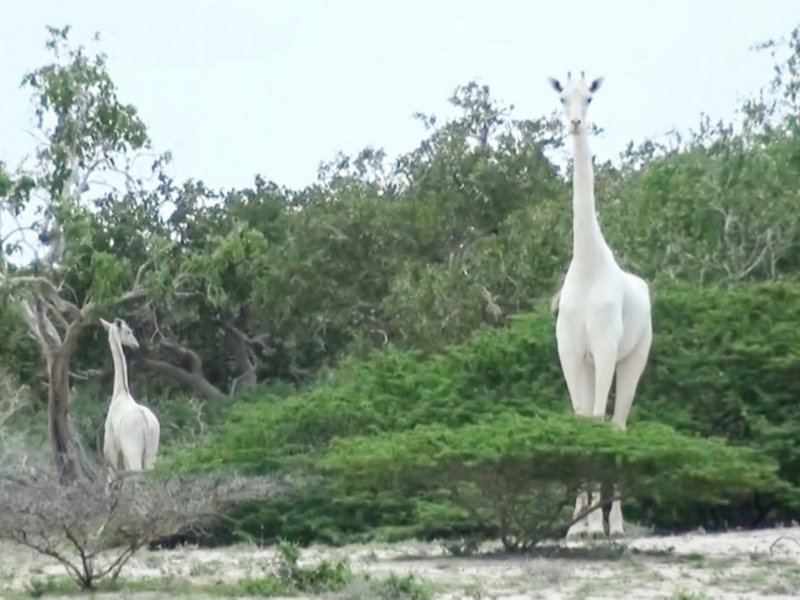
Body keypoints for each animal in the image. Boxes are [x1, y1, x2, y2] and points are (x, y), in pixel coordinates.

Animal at [100, 317, 160, 473]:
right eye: (128, 331)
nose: (136, 345)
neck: (120, 393)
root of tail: (146, 423)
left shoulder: (110, 447)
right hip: (152, 451)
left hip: (133, 449)